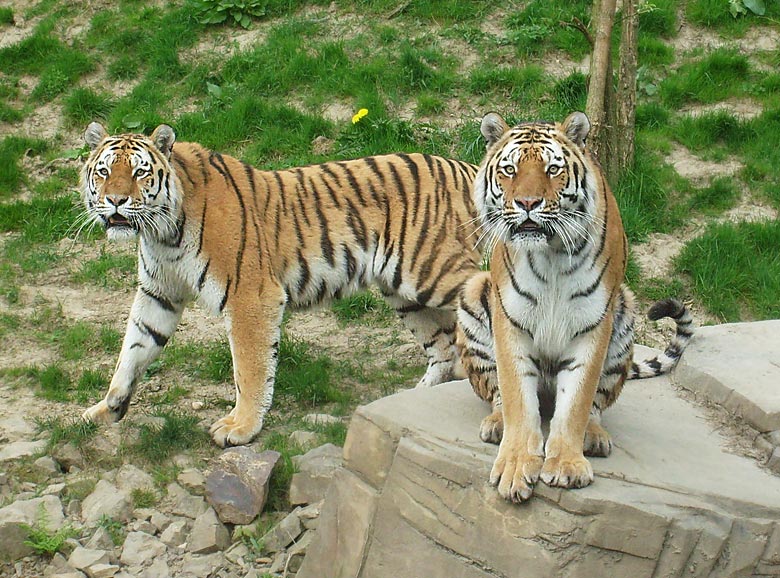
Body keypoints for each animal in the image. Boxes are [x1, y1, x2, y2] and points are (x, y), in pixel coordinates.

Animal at [77, 121, 482, 446]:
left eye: (140, 173)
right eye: (104, 171)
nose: (116, 200)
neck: (161, 232)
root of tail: (469, 168)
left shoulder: (249, 296)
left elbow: (249, 368)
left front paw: (240, 428)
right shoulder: (158, 293)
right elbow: (133, 348)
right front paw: (106, 408)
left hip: (433, 273)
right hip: (404, 292)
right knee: (444, 347)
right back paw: (411, 402)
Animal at [458, 111, 696, 500]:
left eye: (553, 169)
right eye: (509, 170)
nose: (527, 204)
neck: (551, 252)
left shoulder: (594, 321)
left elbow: (578, 400)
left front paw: (566, 465)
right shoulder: (510, 318)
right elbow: (516, 396)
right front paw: (515, 465)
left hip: (626, 308)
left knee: (596, 406)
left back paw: (594, 437)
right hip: (474, 290)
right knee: (496, 394)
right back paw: (496, 424)